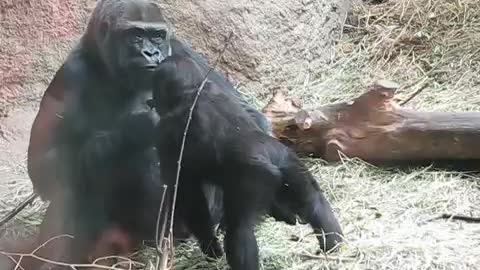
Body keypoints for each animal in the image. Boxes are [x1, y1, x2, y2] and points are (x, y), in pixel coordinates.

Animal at [152, 55, 344, 270]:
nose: (153, 102)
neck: (192, 90)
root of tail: (271, 158)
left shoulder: (164, 134)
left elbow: (186, 194)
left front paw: (211, 248)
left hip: (255, 176)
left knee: (240, 230)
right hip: (291, 165)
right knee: (314, 200)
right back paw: (334, 244)